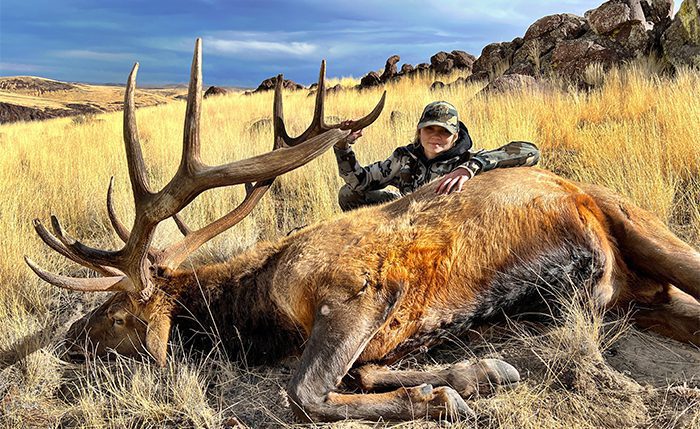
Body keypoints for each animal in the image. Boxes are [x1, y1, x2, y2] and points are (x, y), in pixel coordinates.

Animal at [26, 39, 700, 423]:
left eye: (116, 315)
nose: (65, 345)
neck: (258, 312)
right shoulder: (386, 338)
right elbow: (364, 373)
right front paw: (478, 374)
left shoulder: (359, 294)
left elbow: (304, 394)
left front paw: (442, 398)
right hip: (638, 296)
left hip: (640, 228)